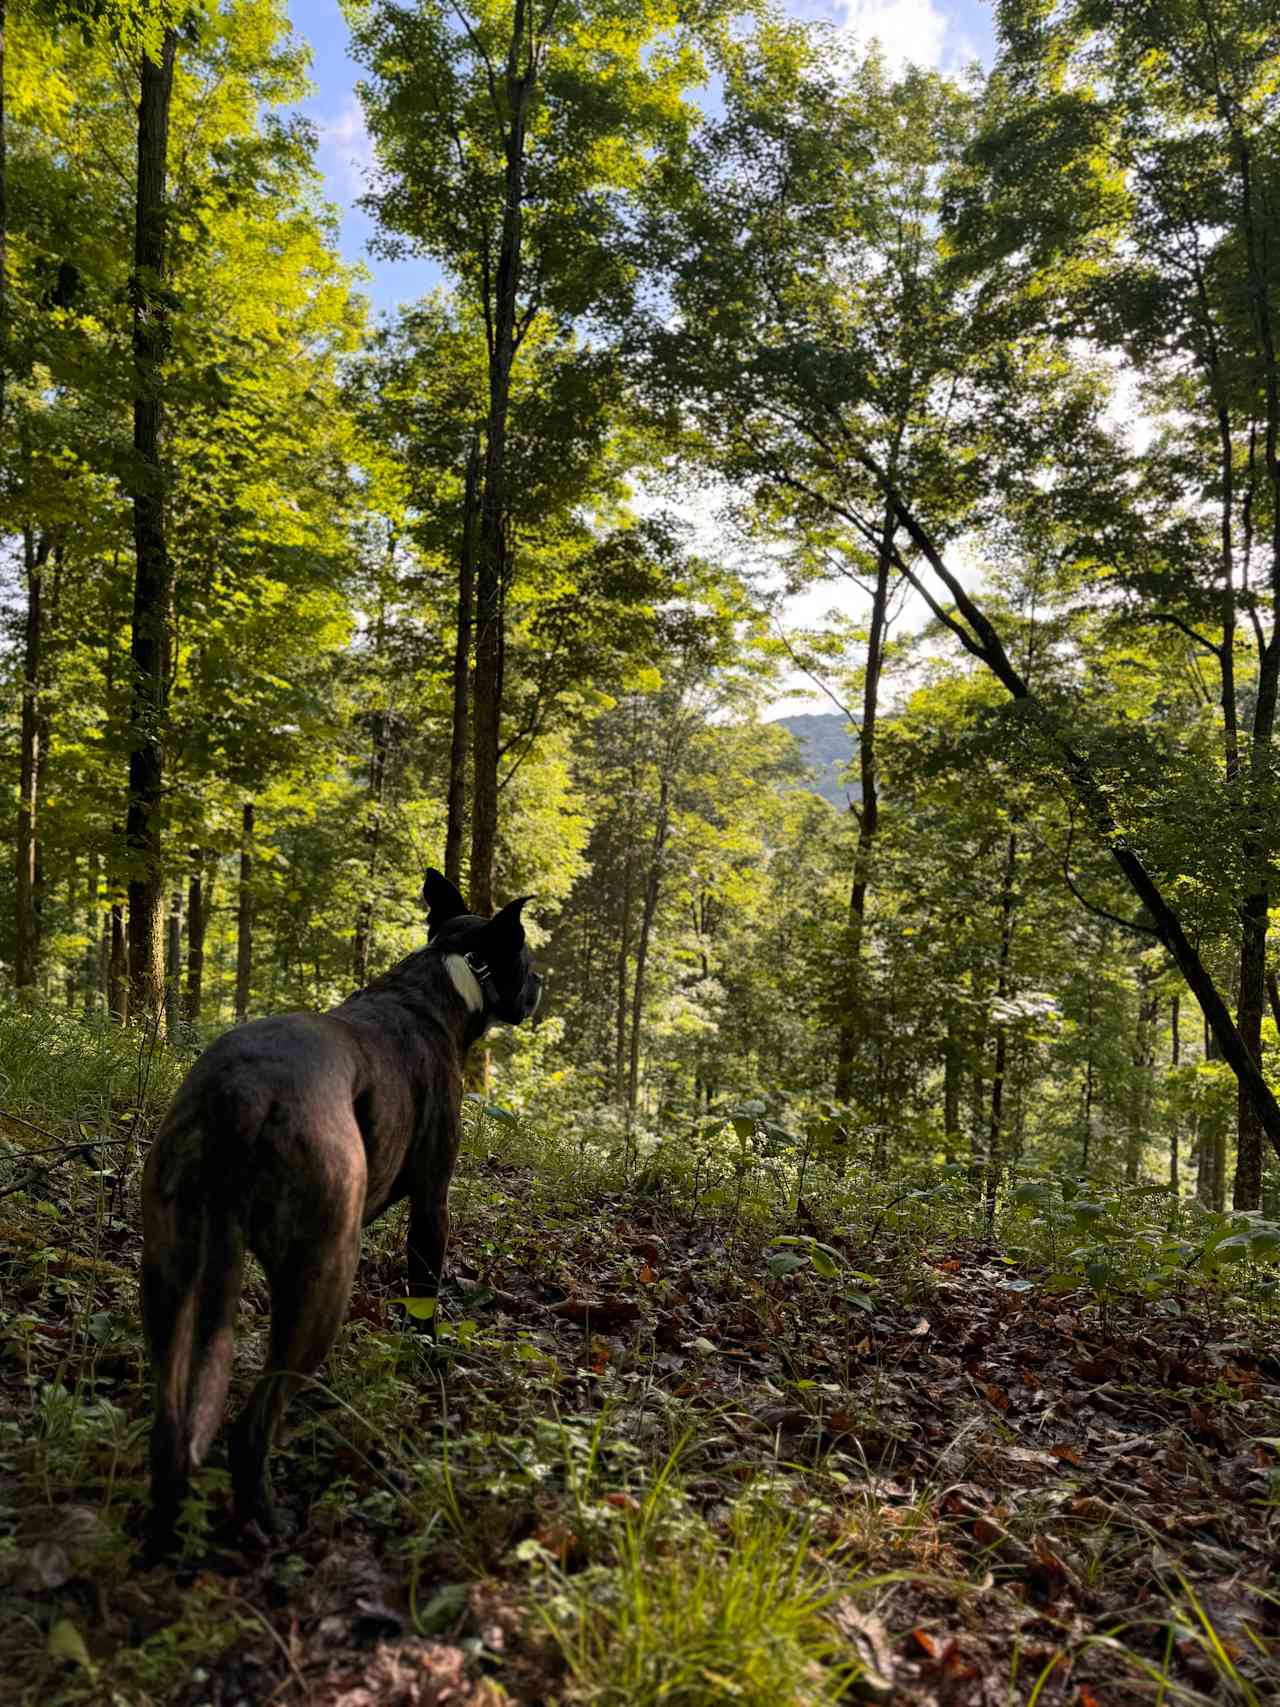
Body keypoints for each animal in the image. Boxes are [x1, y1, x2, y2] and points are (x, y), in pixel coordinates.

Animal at [139, 873, 542, 1556]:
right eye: (527, 958)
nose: (541, 984)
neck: (443, 978)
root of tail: (242, 1097)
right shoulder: (432, 1201)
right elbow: (424, 1293)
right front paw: (426, 1354)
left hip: (170, 1272)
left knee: (172, 1431)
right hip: (324, 1273)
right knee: (251, 1427)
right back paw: (270, 1522)